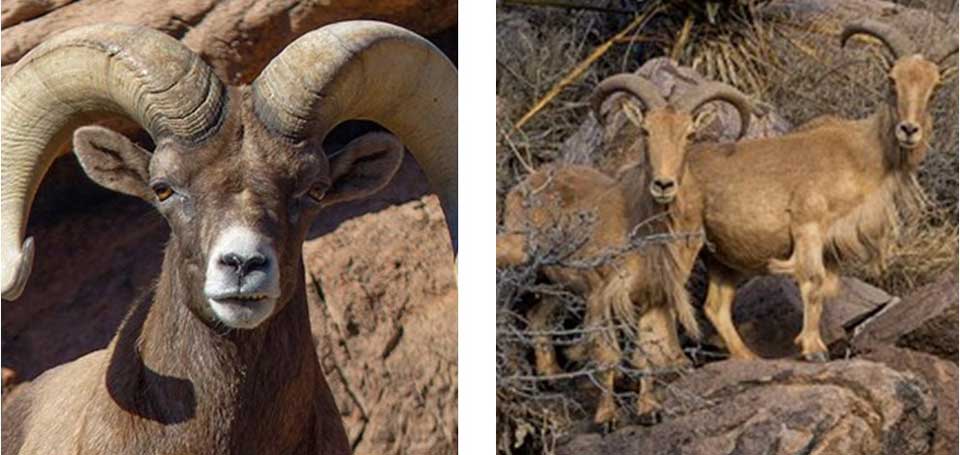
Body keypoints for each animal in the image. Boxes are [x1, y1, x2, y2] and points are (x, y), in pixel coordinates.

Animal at [498, 75, 752, 428]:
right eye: (645, 131)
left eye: (689, 135)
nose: (663, 185)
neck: (645, 230)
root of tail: (524, 185)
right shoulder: (600, 293)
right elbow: (608, 356)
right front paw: (606, 417)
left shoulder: (653, 297)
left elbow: (646, 352)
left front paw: (648, 410)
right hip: (524, 268)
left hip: (556, 282)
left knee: (538, 315)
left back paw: (549, 375)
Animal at [688, 20, 956, 364]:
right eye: (892, 80)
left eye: (934, 88)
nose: (909, 130)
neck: (864, 154)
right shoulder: (808, 226)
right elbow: (812, 282)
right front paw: (814, 349)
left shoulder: (832, 244)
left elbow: (828, 287)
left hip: (719, 259)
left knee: (715, 306)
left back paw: (747, 356)